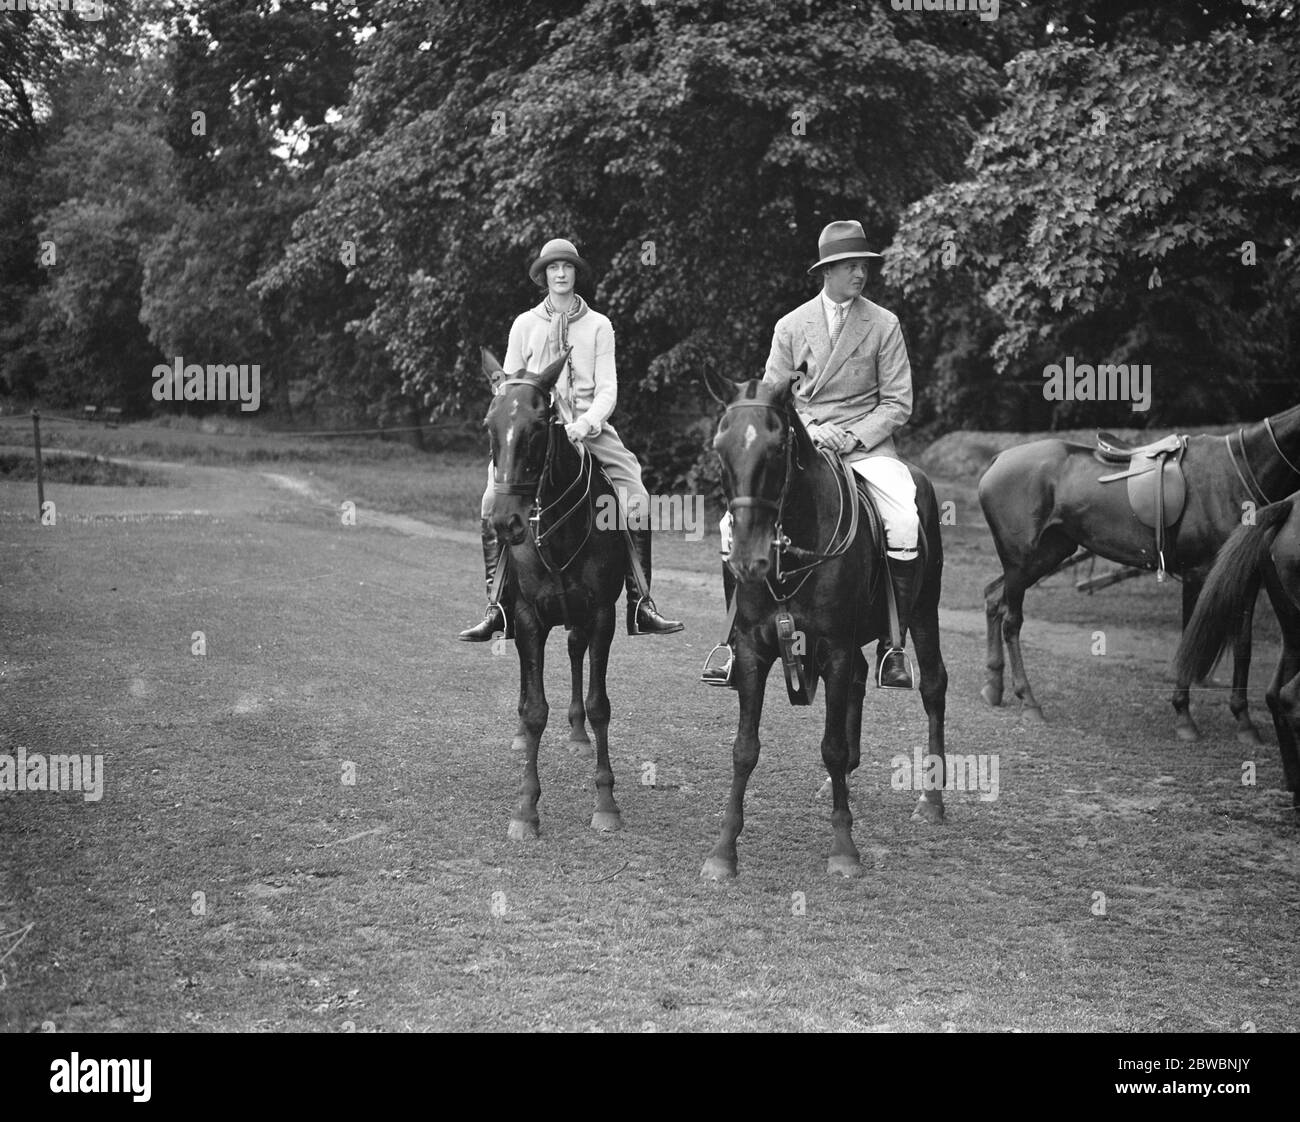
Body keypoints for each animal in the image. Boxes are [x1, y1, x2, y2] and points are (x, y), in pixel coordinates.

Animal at [483, 345, 624, 837]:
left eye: (539, 425)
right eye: (489, 425)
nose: (505, 522)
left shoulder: (601, 615)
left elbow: (600, 705)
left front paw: (606, 802)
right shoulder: (528, 618)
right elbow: (534, 709)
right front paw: (526, 808)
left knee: (576, 651)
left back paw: (578, 734)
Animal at [702, 371, 946, 884]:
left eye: (777, 448)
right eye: (719, 447)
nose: (748, 560)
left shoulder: (833, 647)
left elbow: (831, 745)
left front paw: (844, 850)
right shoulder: (752, 651)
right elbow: (744, 748)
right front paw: (723, 852)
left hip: (923, 609)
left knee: (934, 686)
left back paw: (932, 801)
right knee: (858, 680)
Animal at [977, 403, 1300, 738]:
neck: (1232, 473)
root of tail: (1000, 459)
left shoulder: (1246, 579)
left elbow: (1243, 646)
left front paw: (1244, 722)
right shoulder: (1196, 573)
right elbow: (1188, 641)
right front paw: (1184, 718)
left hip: (1043, 556)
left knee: (993, 598)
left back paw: (993, 686)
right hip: (1020, 560)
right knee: (1011, 622)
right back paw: (1028, 701)